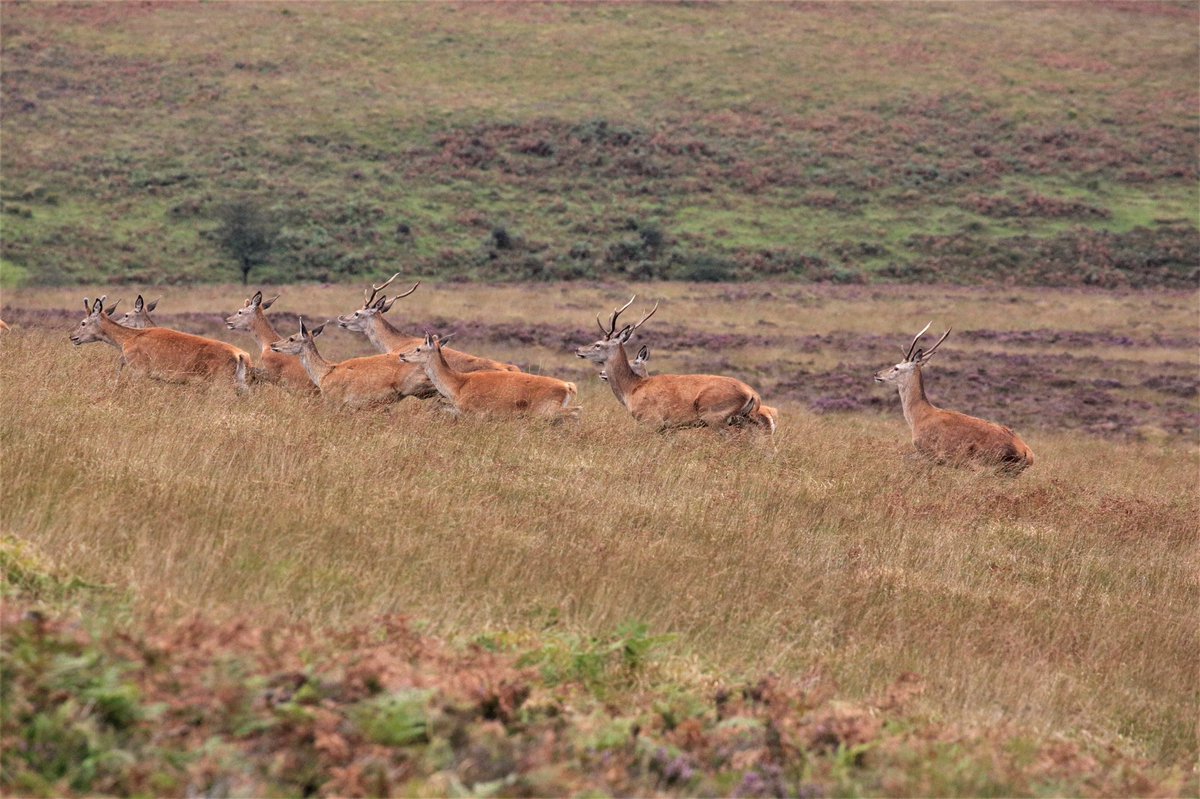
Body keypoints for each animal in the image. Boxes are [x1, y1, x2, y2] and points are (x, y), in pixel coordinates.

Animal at [70, 296, 251, 392]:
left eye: (83, 323)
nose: (72, 337)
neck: (126, 340)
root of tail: (241, 355)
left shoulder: (140, 369)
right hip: (240, 381)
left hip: (222, 380)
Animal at [399, 332, 579, 419]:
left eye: (418, 348)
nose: (401, 355)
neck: (457, 386)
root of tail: (568, 386)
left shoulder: (477, 412)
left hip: (546, 409)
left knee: (576, 411)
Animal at [576, 297, 773, 433]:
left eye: (598, 344)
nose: (578, 349)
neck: (631, 390)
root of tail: (753, 394)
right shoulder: (668, 428)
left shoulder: (652, 421)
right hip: (743, 420)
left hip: (716, 416)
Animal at [874, 322, 1034, 472]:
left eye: (896, 367)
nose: (876, 374)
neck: (918, 418)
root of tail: (1028, 453)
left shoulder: (930, 452)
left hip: (982, 463)